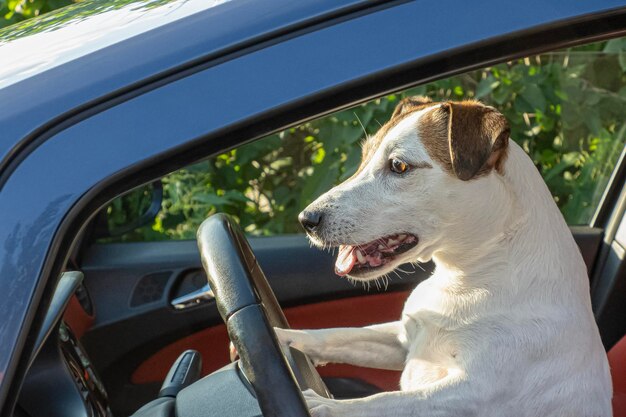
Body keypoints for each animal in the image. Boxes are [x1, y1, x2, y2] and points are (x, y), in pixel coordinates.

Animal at [276, 97, 612, 416]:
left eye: (398, 166)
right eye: (364, 157)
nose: (306, 219)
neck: (468, 278)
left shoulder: (472, 393)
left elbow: (387, 402)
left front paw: (324, 406)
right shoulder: (404, 338)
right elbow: (337, 336)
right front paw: (280, 335)